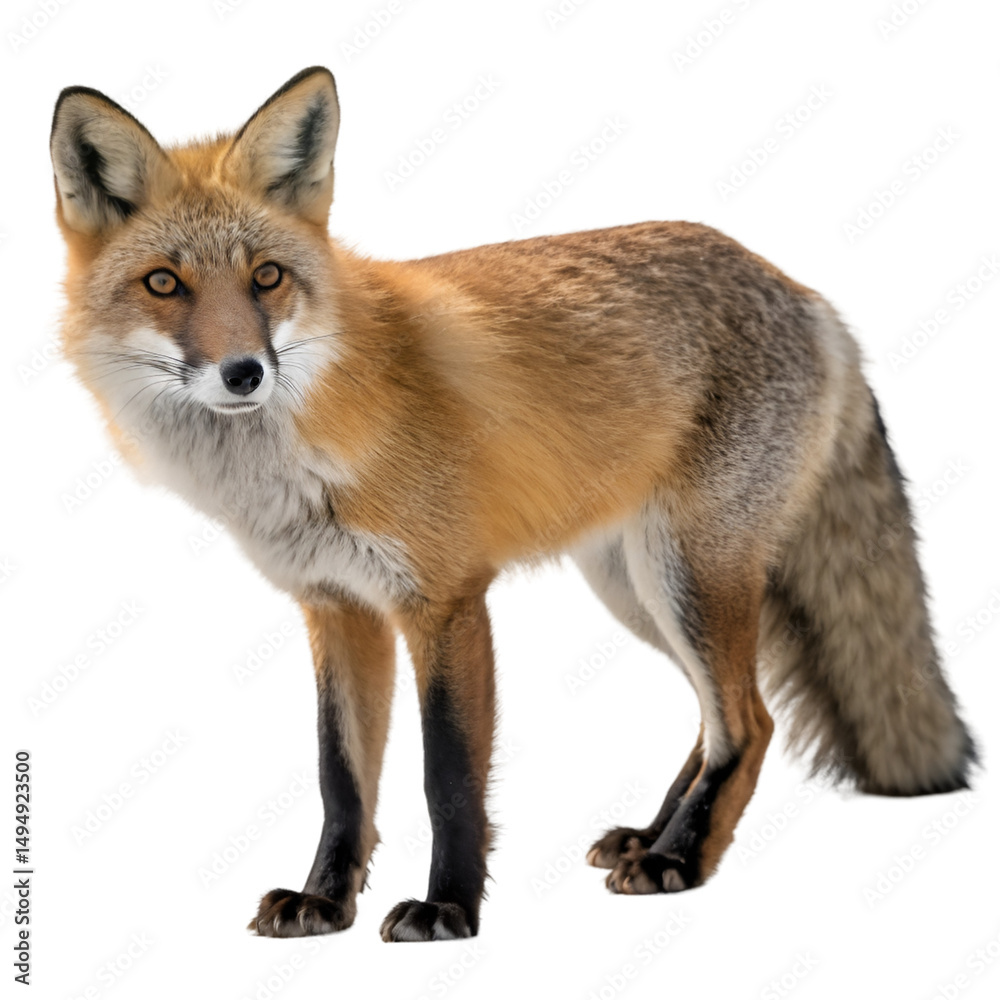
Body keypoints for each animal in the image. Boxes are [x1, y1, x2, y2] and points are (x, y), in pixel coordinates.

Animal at [49, 66, 975, 942]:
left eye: (267, 278)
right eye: (164, 283)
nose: (243, 372)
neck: (308, 445)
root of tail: (805, 292)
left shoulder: (447, 599)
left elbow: (448, 778)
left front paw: (448, 910)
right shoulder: (337, 605)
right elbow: (341, 779)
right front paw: (324, 902)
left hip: (686, 576)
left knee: (748, 723)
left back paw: (679, 860)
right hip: (635, 588)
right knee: (726, 716)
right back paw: (654, 836)